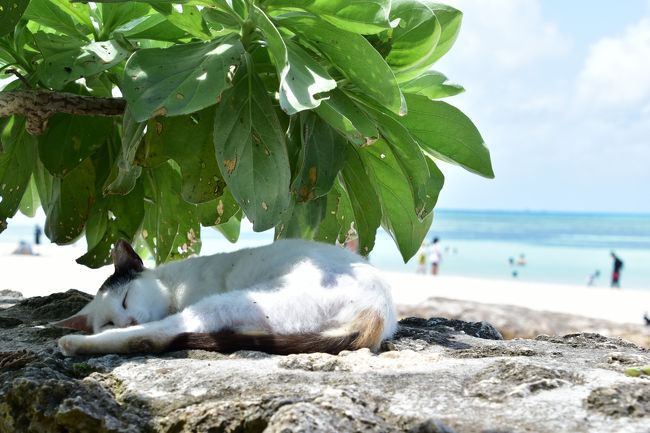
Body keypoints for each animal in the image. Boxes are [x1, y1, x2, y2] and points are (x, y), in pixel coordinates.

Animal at [55, 238, 398, 356]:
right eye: (108, 321)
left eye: (126, 298)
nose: (125, 322)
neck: (172, 283)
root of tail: (376, 311)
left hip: (225, 303)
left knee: (156, 336)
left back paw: (75, 344)